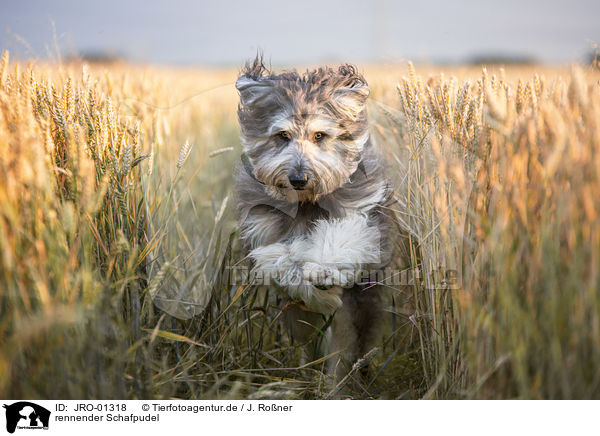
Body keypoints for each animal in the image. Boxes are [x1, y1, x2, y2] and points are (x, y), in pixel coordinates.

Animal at [232, 58, 392, 378]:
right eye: (282, 135)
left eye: (320, 135)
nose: (298, 178)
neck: (307, 204)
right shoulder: (262, 232)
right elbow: (282, 260)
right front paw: (318, 291)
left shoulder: (361, 216)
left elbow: (343, 236)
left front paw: (324, 271)